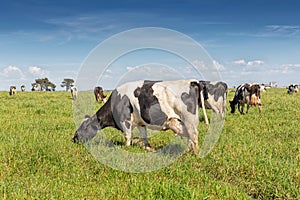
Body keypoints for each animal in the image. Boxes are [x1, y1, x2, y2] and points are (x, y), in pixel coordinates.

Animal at [72, 79, 206, 154]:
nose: (73, 139)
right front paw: (149, 148)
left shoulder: (124, 120)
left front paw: (127, 148)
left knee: (194, 135)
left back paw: (195, 154)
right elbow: (144, 136)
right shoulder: (141, 123)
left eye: (82, 128)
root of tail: (191, 81)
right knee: (190, 136)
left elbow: (128, 136)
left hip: (189, 119)